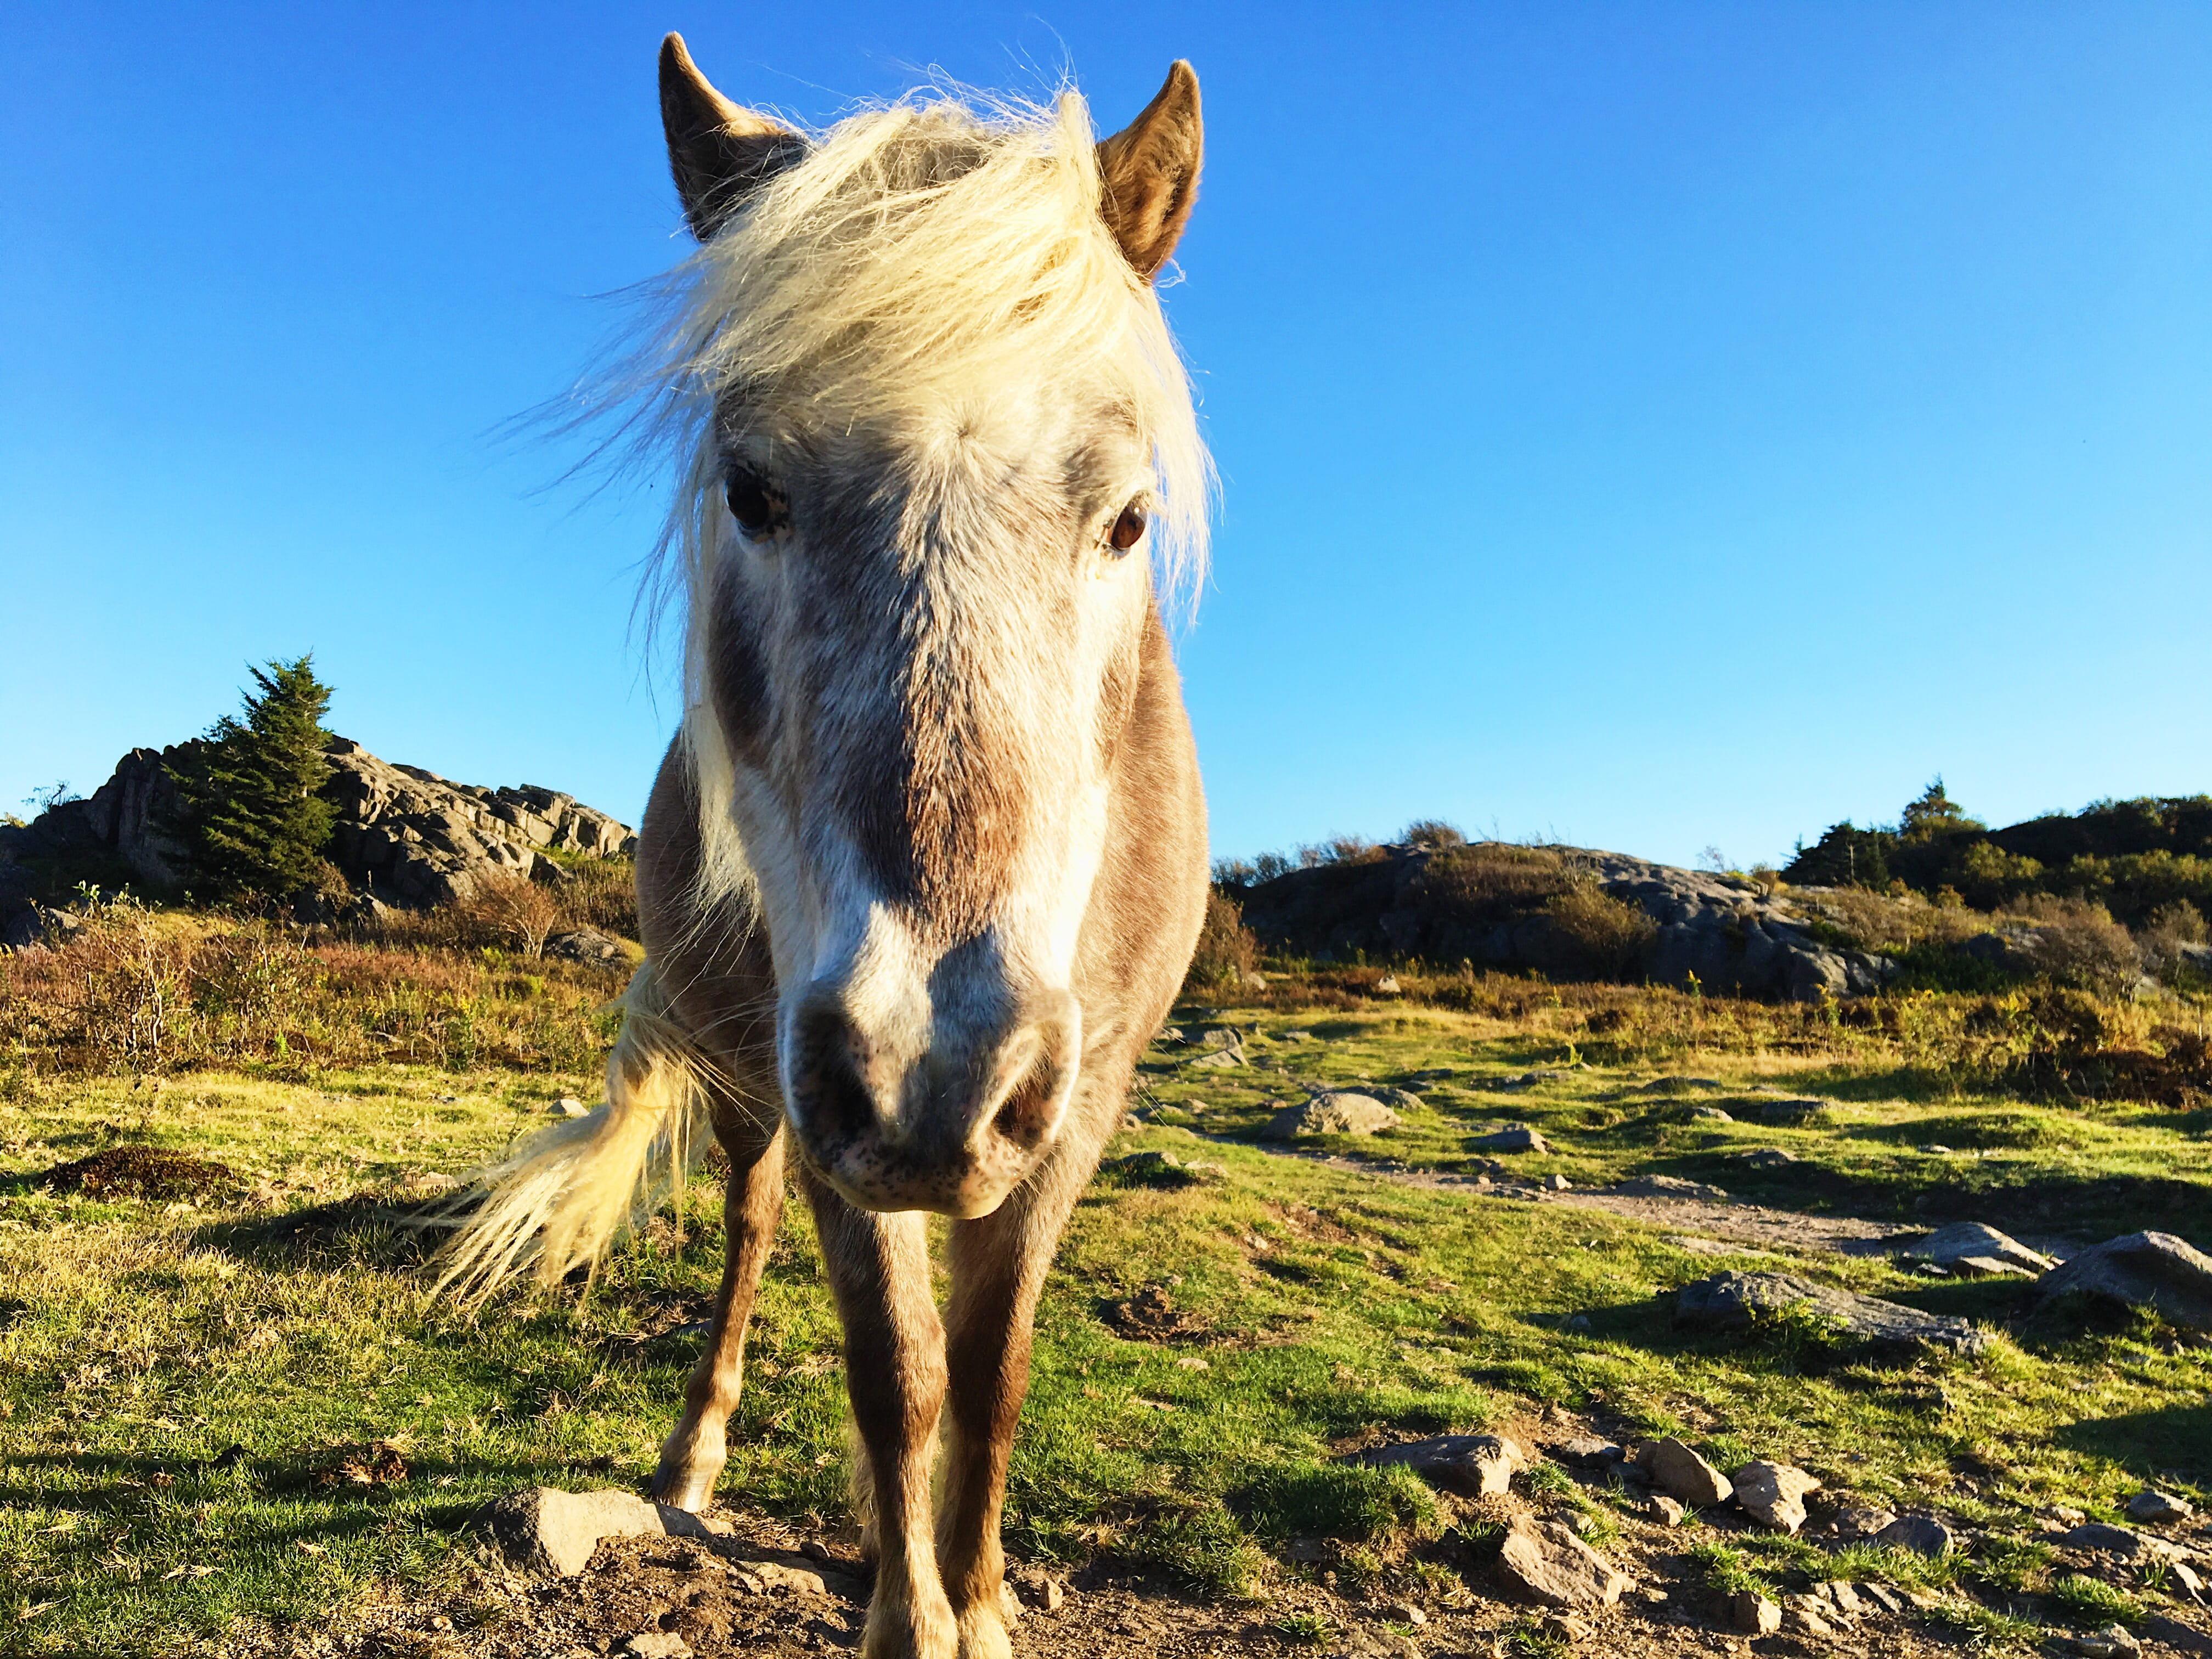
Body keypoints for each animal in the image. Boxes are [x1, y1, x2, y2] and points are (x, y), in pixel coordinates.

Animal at [437, 34, 1213, 1659]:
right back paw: (697, 1455)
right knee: (746, 1226)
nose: (936, 1064)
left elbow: (988, 1375)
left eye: (1127, 518)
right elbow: (897, 1371)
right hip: (761, 1083)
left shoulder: (1072, 1110)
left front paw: (976, 1600)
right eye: (752, 490)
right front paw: (912, 1618)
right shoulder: (836, 1092)